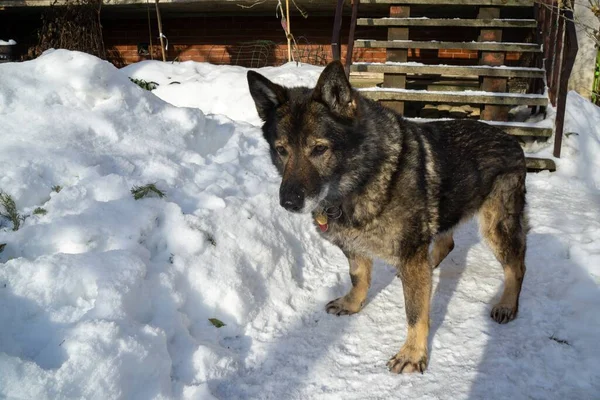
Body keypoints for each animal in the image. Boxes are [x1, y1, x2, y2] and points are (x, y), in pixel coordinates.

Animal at [246, 61, 528, 374]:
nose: (289, 202)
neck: (361, 178)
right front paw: (353, 303)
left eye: (319, 149)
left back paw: (507, 304)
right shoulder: (356, 247)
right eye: (281, 150)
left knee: (517, 265)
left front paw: (413, 354)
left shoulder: (411, 252)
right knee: (445, 245)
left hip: (495, 226)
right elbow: (358, 278)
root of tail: (510, 139)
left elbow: (415, 313)